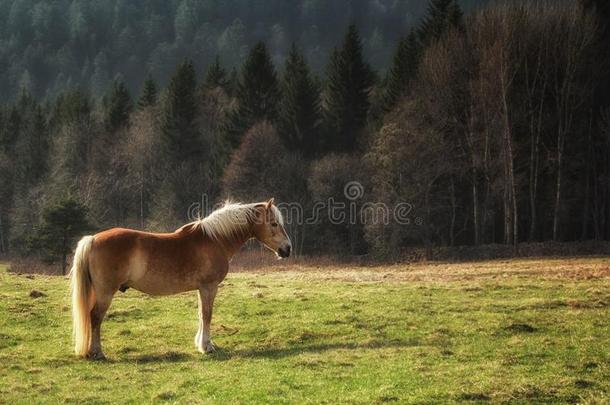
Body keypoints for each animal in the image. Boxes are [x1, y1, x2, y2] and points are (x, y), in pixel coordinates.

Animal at [67, 197, 290, 358]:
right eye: (274, 224)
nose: (287, 249)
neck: (215, 240)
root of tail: (93, 239)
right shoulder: (209, 287)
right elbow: (207, 315)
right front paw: (207, 347)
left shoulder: (202, 289)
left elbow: (201, 315)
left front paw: (202, 343)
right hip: (105, 293)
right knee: (95, 317)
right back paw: (97, 353)